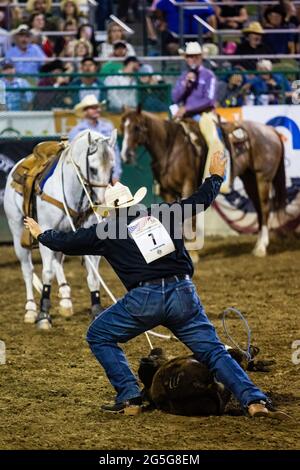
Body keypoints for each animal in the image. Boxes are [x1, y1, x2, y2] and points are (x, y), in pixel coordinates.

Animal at [3, 129, 116, 330]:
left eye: (112, 168)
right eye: (93, 169)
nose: (102, 207)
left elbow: (93, 276)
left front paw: (96, 310)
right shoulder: (44, 231)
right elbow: (46, 274)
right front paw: (43, 316)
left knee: (58, 262)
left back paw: (65, 299)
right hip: (17, 232)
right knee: (27, 270)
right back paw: (30, 309)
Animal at [120, 109, 286, 258]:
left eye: (136, 127)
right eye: (123, 127)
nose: (126, 155)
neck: (170, 149)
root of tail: (270, 130)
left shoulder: (188, 185)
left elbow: (189, 219)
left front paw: (193, 253)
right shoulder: (167, 193)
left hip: (263, 178)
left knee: (265, 208)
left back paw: (262, 247)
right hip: (250, 180)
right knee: (259, 209)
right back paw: (258, 245)